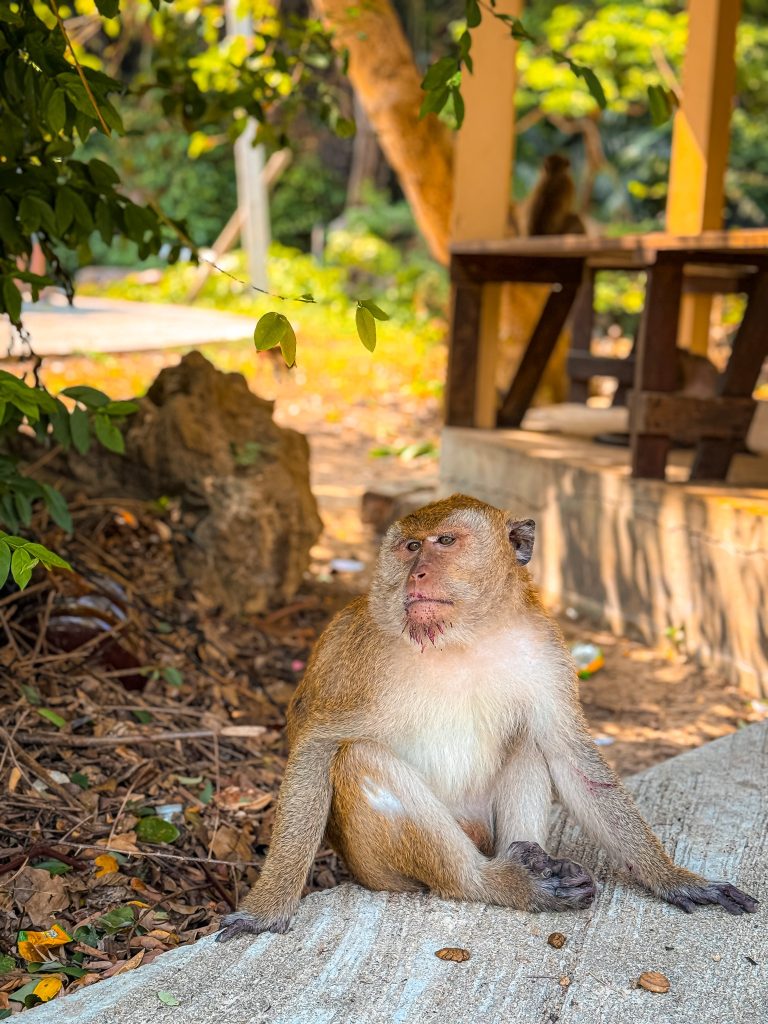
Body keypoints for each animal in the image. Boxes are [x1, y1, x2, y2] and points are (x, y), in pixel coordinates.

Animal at [217, 495, 758, 941]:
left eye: (445, 542)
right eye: (410, 547)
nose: (416, 573)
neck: (461, 638)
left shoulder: (544, 649)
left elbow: (570, 757)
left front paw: (674, 880)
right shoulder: (356, 656)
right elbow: (318, 747)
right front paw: (267, 909)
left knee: (529, 742)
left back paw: (531, 861)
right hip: (375, 868)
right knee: (360, 759)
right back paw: (497, 881)